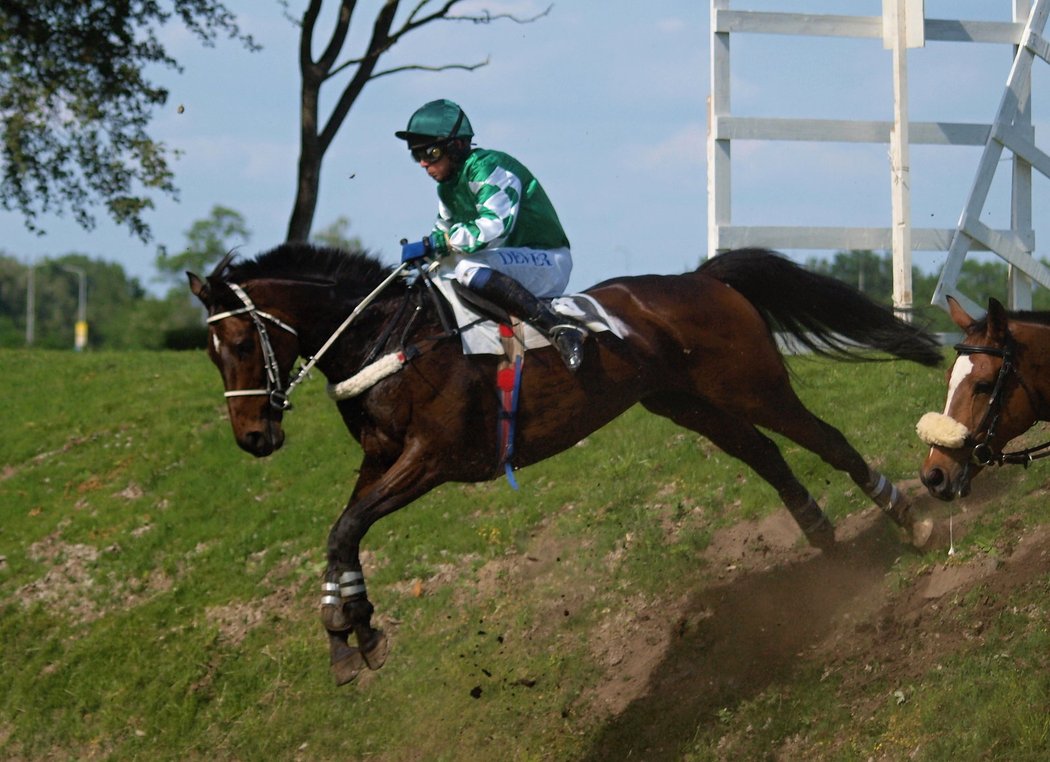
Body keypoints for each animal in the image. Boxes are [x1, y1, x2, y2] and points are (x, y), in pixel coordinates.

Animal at [186, 244, 944, 688]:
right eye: (211, 352)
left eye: (240, 342)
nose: (253, 437)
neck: (386, 337)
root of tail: (700, 279)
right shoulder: (380, 462)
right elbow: (340, 533)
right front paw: (350, 628)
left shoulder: (433, 458)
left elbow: (346, 529)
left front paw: (352, 631)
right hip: (689, 403)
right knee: (764, 453)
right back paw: (821, 537)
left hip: (753, 385)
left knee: (827, 439)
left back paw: (909, 518)